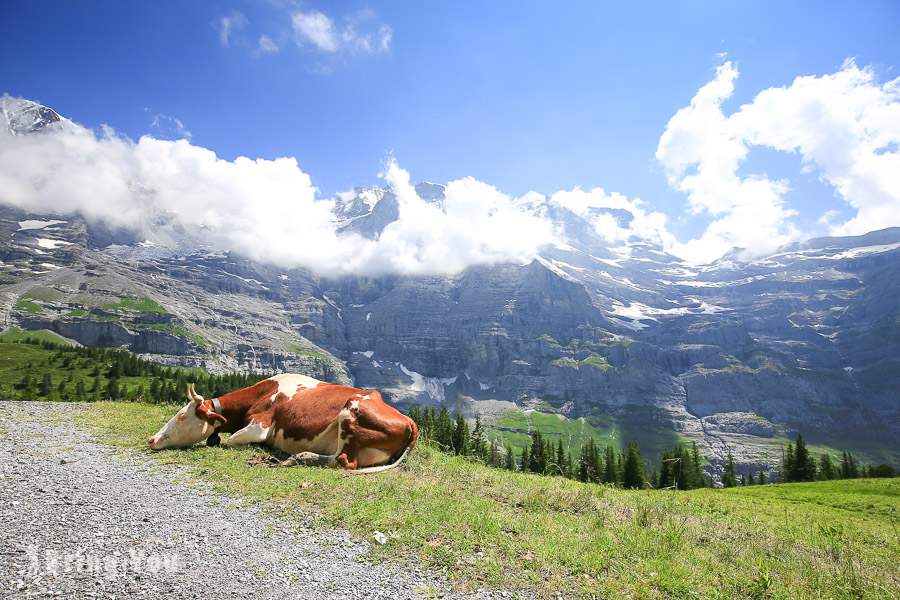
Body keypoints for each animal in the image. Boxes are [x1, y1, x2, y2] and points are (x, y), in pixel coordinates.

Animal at [146, 372, 416, 472]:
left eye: (182, 417)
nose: (151, 439)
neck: (261, 392)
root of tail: (408, 419)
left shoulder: (260, 426)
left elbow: (231, 440)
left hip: (350, 413)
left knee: (343, 461)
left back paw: (298, 457)